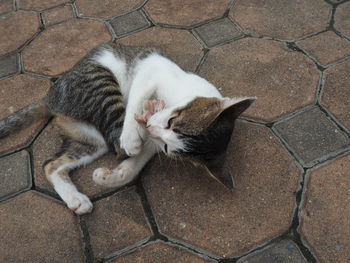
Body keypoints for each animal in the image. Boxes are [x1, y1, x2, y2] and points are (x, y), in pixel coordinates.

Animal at [0, 43, 254, 216]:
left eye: (167, 147)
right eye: (172, 121)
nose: (151, 127)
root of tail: (50, 98)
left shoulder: (153, 144)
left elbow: (136, 163)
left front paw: (114, 176)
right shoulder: (151, 69)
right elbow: (136, 101)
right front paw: (133, 136)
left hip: (90, 140)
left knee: (52, 164)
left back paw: (75, 199)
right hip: (99, 82)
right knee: (116, 131)